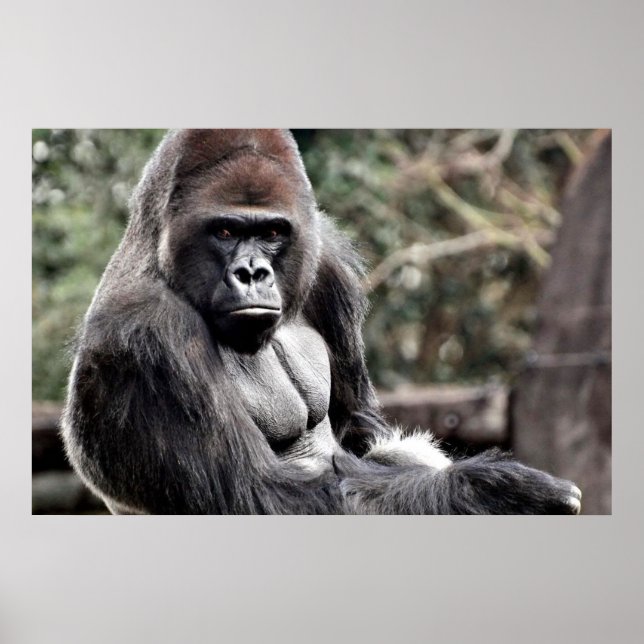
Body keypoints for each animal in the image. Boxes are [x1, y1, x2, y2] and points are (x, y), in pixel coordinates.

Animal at [61, 129, 582, 514]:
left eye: (272, 232)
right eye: (225, 231)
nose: (252, 272)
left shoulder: (325, 260)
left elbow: (362, 433)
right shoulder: (147, 333)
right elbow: (264, 497)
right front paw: (493, 492)